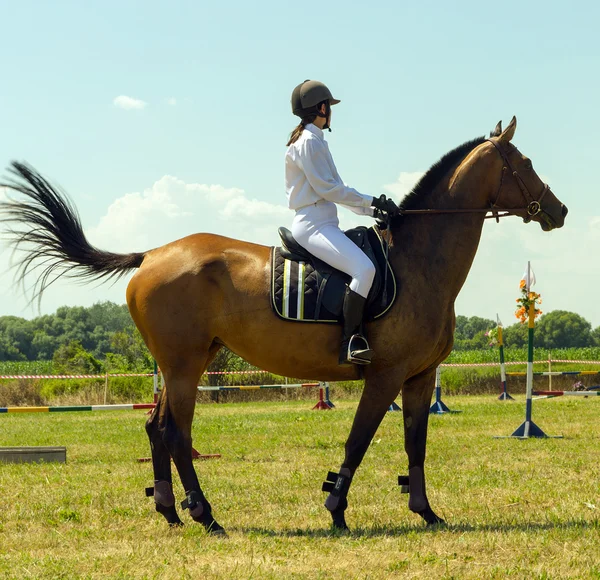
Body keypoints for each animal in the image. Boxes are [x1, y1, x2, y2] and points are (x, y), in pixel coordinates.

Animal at [0, 116, 568, 536]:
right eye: (525, 163)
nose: (559, 211)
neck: (417, 261)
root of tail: (152, 255)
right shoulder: (384, 375)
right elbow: (358, 441)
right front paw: (337, 510)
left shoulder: (420, 377)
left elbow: (415, 443)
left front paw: (426, 511)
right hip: (183, 366)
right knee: (175, 432)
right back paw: (206, 515)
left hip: (190, 360)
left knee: (157, 429)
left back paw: (170, 511)